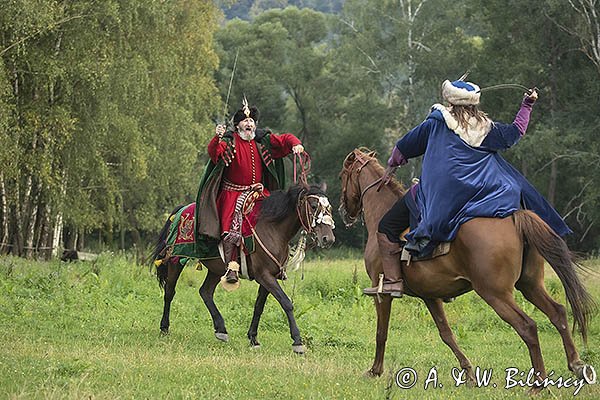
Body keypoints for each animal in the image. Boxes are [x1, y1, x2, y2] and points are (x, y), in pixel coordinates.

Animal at [150, 184, 336, 354]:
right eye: (314, 206)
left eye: (329, 208)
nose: (328, 239)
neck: (273, 228)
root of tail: (181, 210)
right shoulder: (265, 275)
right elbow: (286, 303)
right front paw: (297, 341)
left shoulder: (269, 276)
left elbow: (259, 306)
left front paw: (253, 338)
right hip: (176, 260)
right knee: (170, 292)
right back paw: (164, 328)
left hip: (216, 269)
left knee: (205, 292)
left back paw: (221, 329)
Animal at [338, 148, 596, 386]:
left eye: (343, 175)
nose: (343, 211)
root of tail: (515, 218)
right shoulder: (430, 296)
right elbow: (447, 334)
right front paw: (469, 374)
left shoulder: (381, 292)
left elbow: (381, 332)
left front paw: (375, 370)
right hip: (530, 285)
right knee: (558, 313)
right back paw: (577, 364)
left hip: (495, 294)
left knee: (528, 326)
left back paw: (538, 383)